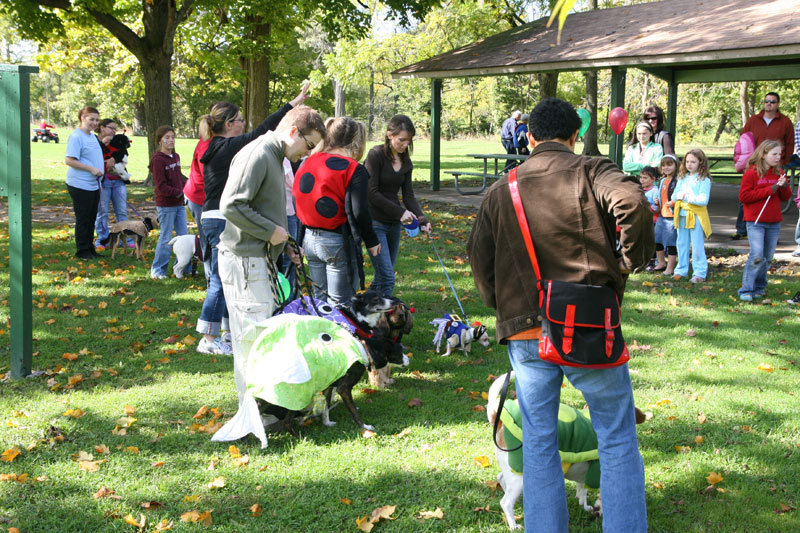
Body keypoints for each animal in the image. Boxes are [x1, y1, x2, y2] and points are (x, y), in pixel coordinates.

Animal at [484, 372, 648, 528]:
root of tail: (499, 421)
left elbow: (582, 492)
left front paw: (585, 507)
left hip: (511, 470)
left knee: (501, 479)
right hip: (520, 477)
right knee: (505, 502)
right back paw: (513, 524)